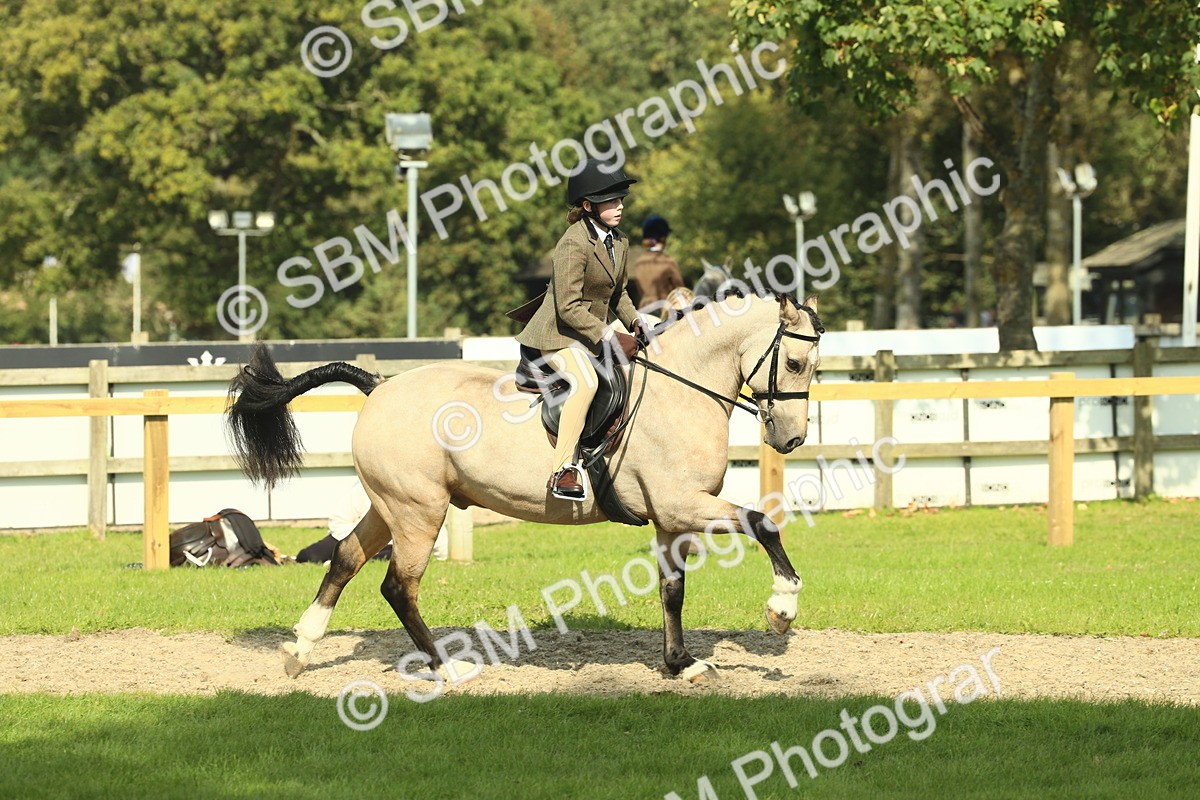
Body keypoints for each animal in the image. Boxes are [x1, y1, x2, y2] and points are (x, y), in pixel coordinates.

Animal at [226, 291, 823, 684]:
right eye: (795, 362)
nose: (791, 438)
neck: (680, 391)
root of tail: (379, 386)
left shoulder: (672, 517)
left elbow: (672, 590)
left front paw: (681, 664)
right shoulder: (684, 504)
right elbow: (763, 523)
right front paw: (782, 608)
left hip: (391, 505)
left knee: (346, 558)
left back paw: (300, 649)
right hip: (419, 511)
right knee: (398, 586)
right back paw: (447, 667)